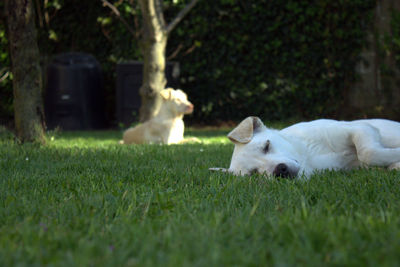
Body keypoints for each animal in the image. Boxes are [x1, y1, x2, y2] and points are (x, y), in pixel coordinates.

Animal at [209, 116, 400, 179]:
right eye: (253, 174)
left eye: (266, 146)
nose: (280, 170)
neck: (310, 156)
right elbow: (368, 156)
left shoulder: (360, 128)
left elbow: (367, 152)